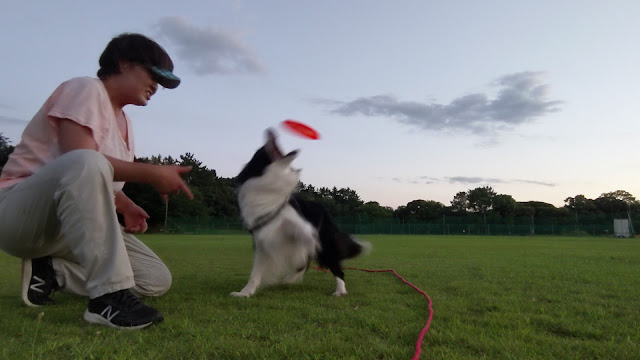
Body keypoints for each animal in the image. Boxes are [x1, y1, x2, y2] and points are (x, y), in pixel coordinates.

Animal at [231, 129, 370, 298]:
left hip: (327, 244)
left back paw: (340, 291)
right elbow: (255, 273)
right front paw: (244, 293)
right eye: (261, 150)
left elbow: (304, 233)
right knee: (305, 263)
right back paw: (289, 279)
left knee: (335, 267)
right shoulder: (263, 241)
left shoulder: (298, 221)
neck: (269, 188)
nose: (270, 130)